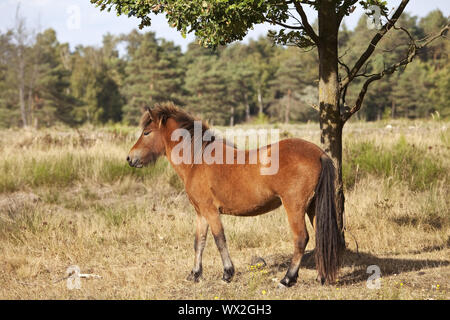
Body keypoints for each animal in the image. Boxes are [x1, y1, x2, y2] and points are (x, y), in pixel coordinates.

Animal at [128, 103, 342, 288]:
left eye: (146, 132)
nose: (130, 158)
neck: (198, 161)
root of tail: (319, 153)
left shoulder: (211, 211)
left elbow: (219, 240)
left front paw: (227, 274)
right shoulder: (201, 213)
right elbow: (199, 242)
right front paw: (195, 274)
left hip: (295, 206)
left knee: (301, 238)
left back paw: (287, 279)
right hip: (313, 207)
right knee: (320, 237)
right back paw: (321, 277)